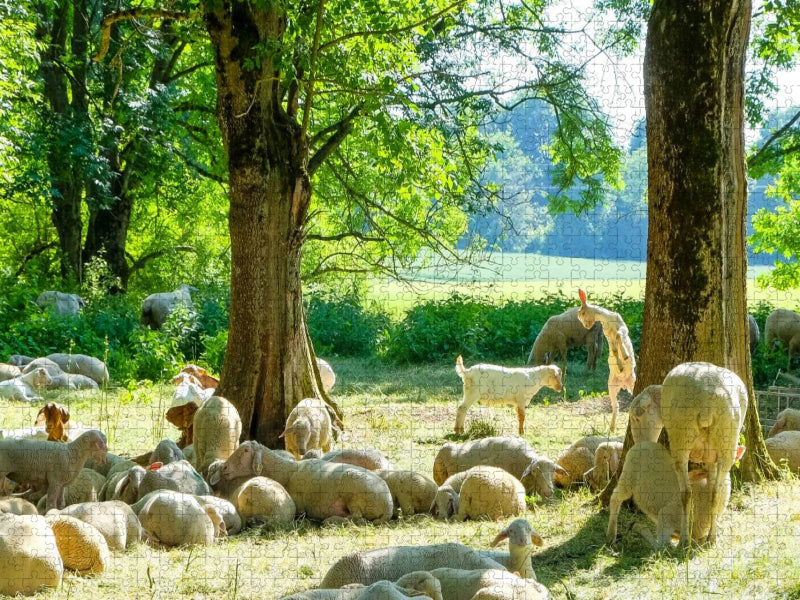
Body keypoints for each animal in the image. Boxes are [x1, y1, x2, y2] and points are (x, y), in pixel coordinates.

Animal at [212, 441, 393, 525]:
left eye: (246, 451)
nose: (225, 467)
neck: (286, 471)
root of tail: (388, 507)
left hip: (354, 495)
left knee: (358, 519)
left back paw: (330, 521)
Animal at [576, 289, 636, 431]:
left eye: (582, 313)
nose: (586, 326)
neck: (607, 319)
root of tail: (623, 384)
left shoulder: (622, 328)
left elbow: (619, 336)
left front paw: (625, 355)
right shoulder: (609, 337)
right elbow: (614, 351)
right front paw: (620, 365)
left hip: (633, 381)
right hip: (611, 386)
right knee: (616, 406)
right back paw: (612, 427)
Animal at [607, 441, 739, 548]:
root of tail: (644, 442)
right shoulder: (666, 515)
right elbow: (660, 546)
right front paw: (637, 527)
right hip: (628, 476)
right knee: (615, 497)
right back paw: (611, 535)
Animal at [659, 362, 747, 547]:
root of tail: (707, 402)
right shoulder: (712, 459)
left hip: (682, 439)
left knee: (686, 492)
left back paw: (686, 538)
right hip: (725, 440)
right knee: (713, 492)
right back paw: (709, 537)